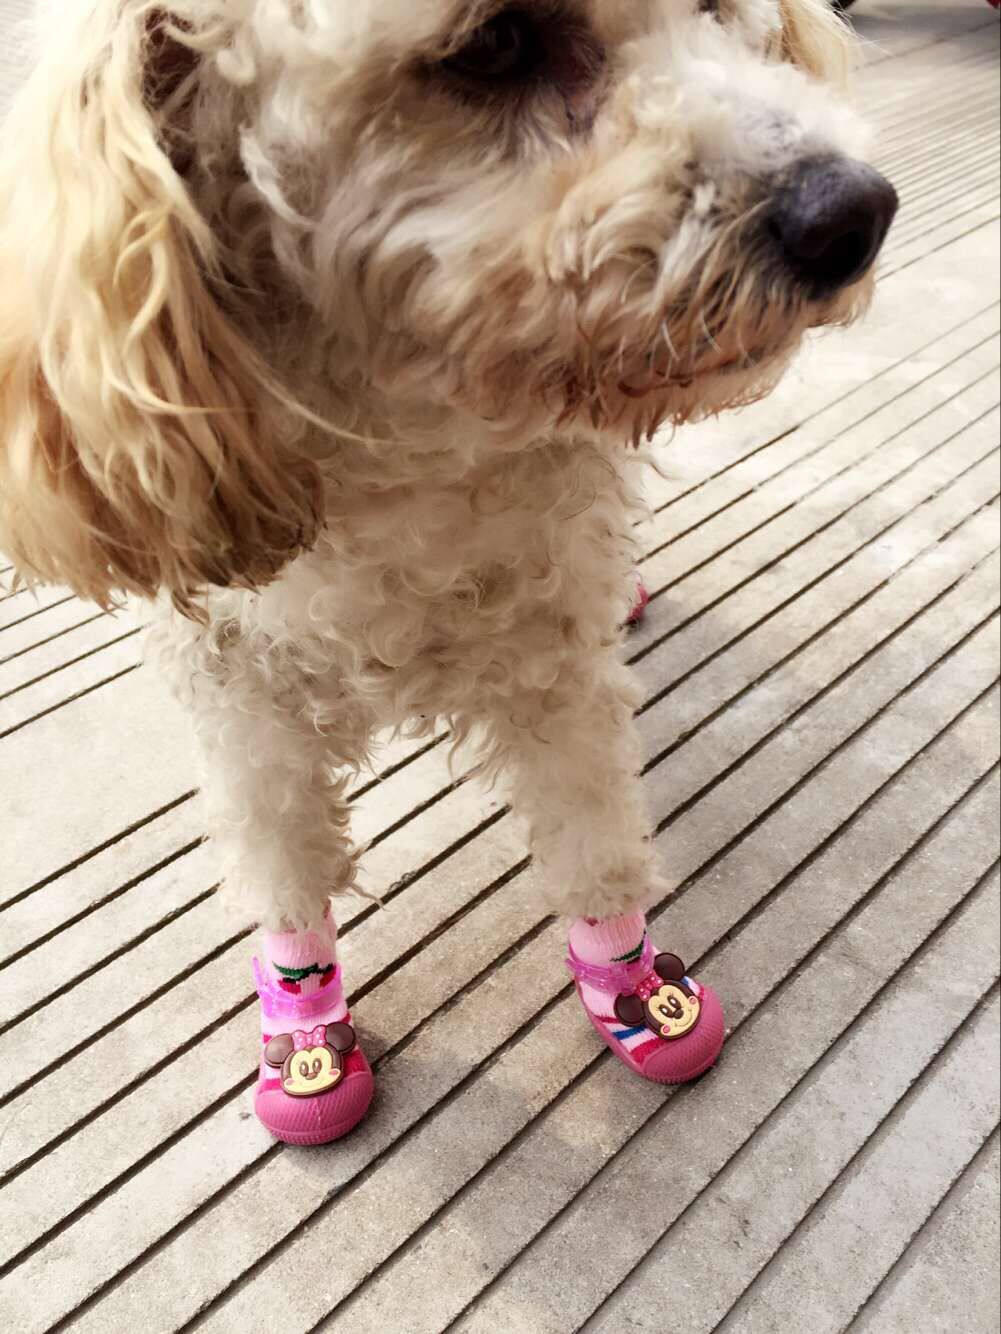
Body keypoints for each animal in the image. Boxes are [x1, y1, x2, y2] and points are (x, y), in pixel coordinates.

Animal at [0, 0, 896, 1140]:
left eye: (719, 14)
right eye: (497, 44)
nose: (853, 214)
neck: (409, 438)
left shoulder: (552, 658)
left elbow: (590, 833)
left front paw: (632, 984)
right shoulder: (239, 694)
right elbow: (283, 862)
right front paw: (305, 1031)